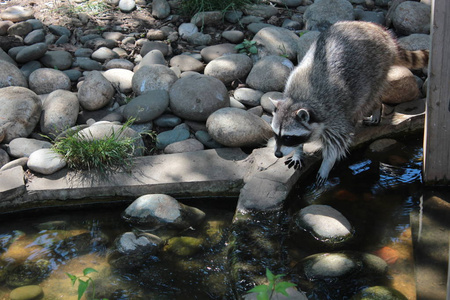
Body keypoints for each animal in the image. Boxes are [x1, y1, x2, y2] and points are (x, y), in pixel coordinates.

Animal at [270, 20, 428, 185]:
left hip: (378, 64)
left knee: (371, 96)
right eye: (275, 134)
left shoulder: (334, 113)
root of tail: (375, 29)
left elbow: (337, 143)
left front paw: (326, 165)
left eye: (288, 137)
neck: (297, 100)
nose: (277, 154)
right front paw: (298, 151)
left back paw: (376, 109)